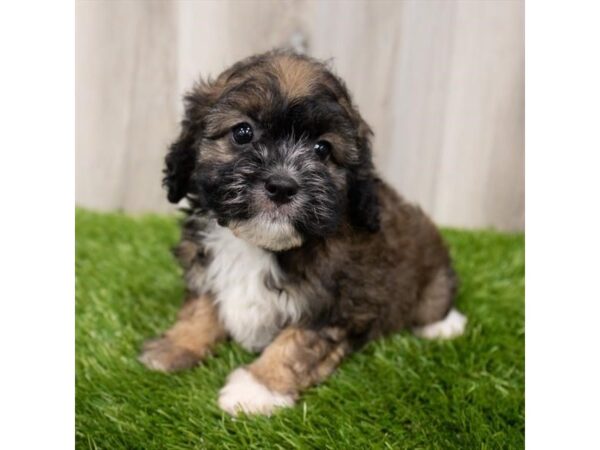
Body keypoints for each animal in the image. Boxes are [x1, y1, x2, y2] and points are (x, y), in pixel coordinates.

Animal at [138, 49, 466, 414]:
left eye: (322, 149)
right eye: (243, 132)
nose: (282, 186)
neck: (258, 245)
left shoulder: (336, 303)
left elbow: (296, 344)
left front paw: (257, 388)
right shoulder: (205, 264)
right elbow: (200, 308)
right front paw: (175, 347)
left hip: (432, 279)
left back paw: (445, 325)